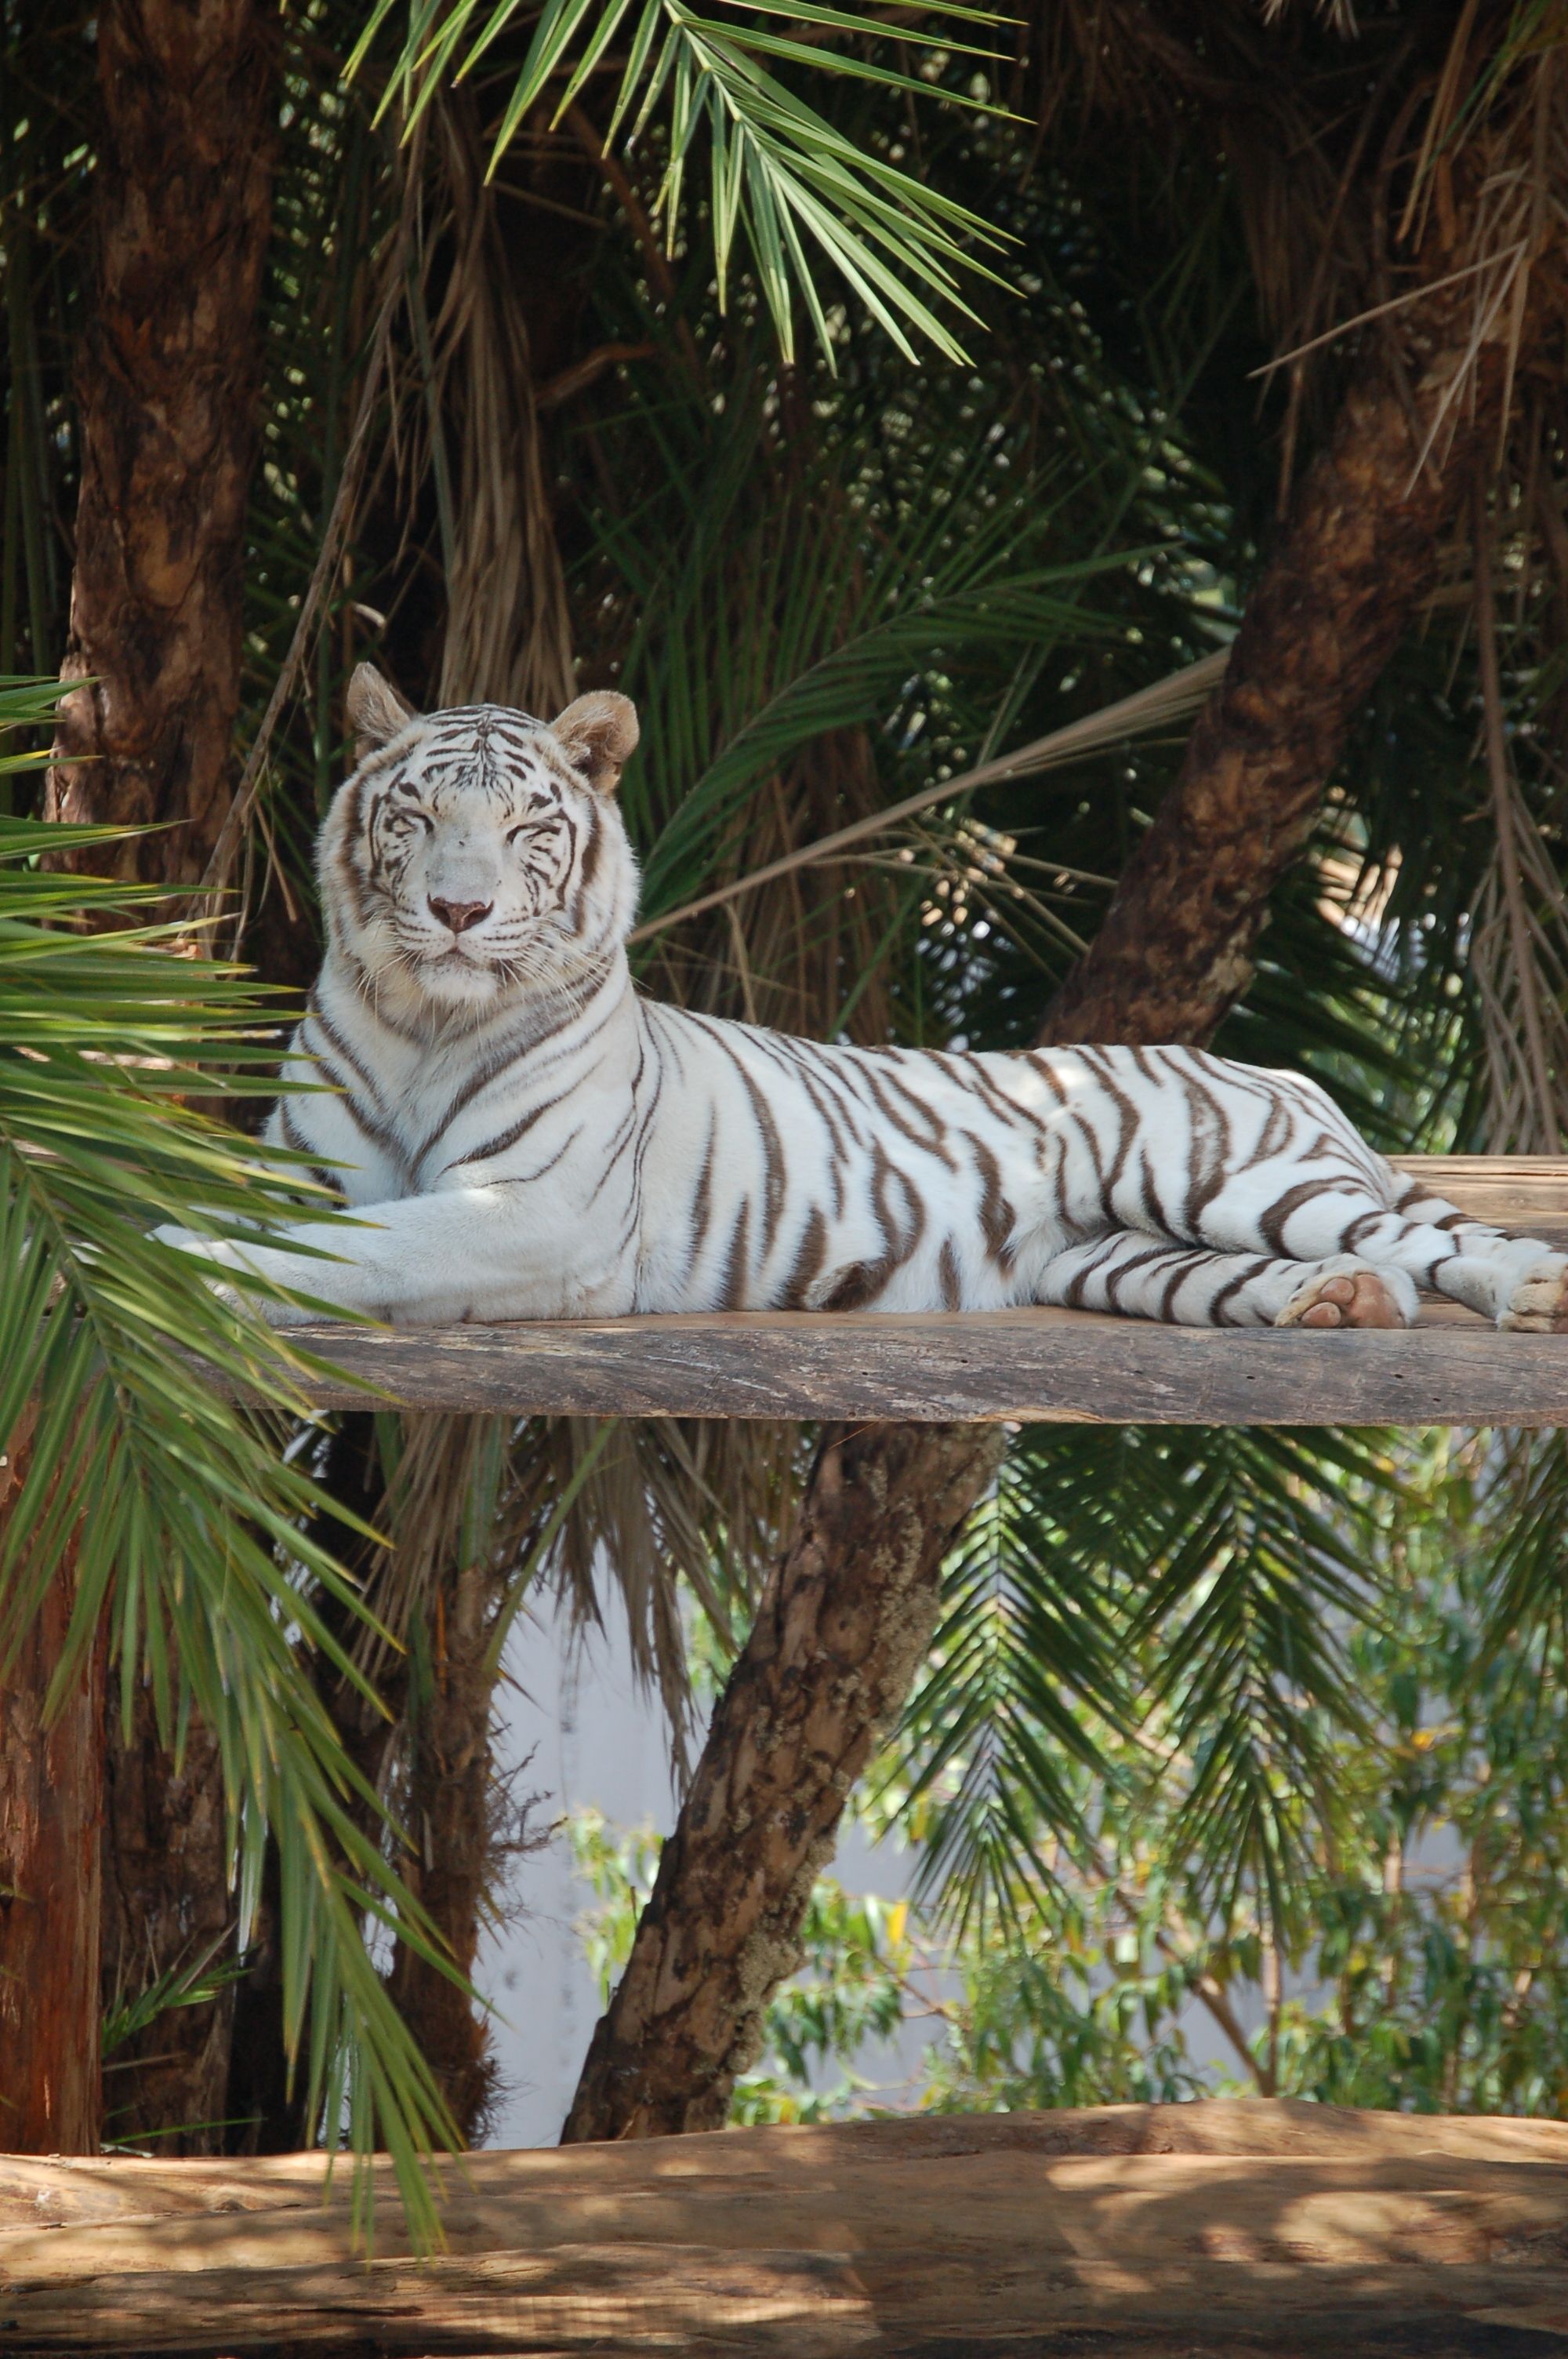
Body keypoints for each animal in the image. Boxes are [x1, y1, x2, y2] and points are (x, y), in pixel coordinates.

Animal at [171, 665, 1565, 1339]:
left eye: (523, 828)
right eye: (416, 817)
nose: (459, 912)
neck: (428, 1019)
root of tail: (1277, 1071)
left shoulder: (540, 1212)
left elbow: (368, 1246)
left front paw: (193, 1274)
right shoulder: (303, 1163)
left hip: (1232, 1175)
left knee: (1441, 1247)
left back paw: (1523, 1296)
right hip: (1116, 1255)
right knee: (1342, 1278)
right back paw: (1329, 1305)